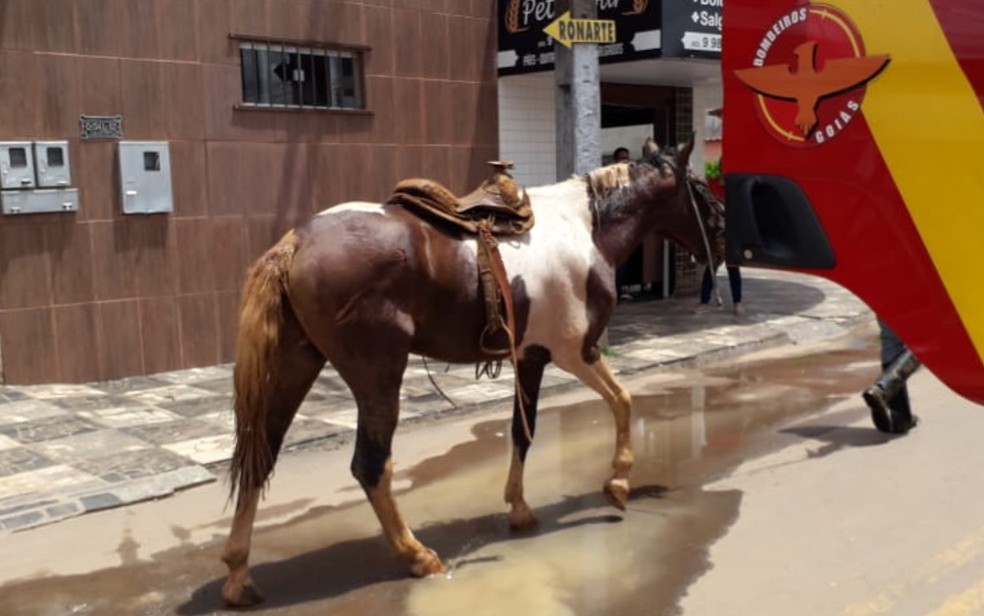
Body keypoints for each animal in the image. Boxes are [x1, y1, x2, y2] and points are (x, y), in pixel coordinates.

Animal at [221, 137, 724, 604]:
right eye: (701, 191)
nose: (720, 249)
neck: (587, 227)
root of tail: (296, 241)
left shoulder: (531, 358)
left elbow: (523, 432)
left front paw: (519, 508)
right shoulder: (576, 351)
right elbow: (623, 400)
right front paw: (617, 482)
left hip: (295, 365)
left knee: (261, 453)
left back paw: (238, 575)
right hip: (377, 375)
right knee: (370, 464)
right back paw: (417, 555)